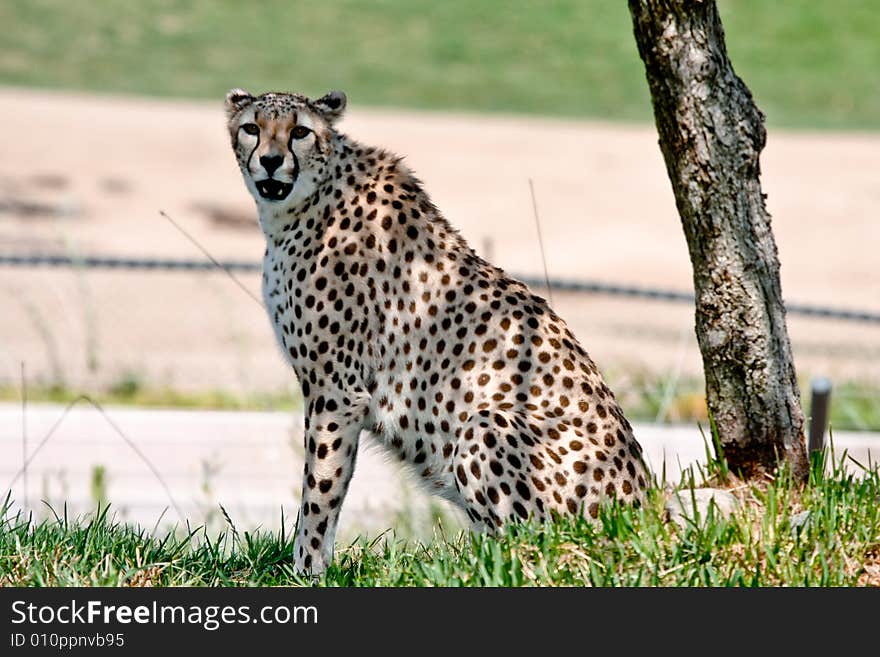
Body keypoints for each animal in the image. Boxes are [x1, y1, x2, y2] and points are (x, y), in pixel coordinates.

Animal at [223, 89, 648, 572]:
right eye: (252, 128)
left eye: (300, 131)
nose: (271, 161)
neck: (306, 204)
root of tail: (646, 510)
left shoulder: (337, 390)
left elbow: (321, 489)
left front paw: (308, 569)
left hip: (487, 424)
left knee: (534, 544)